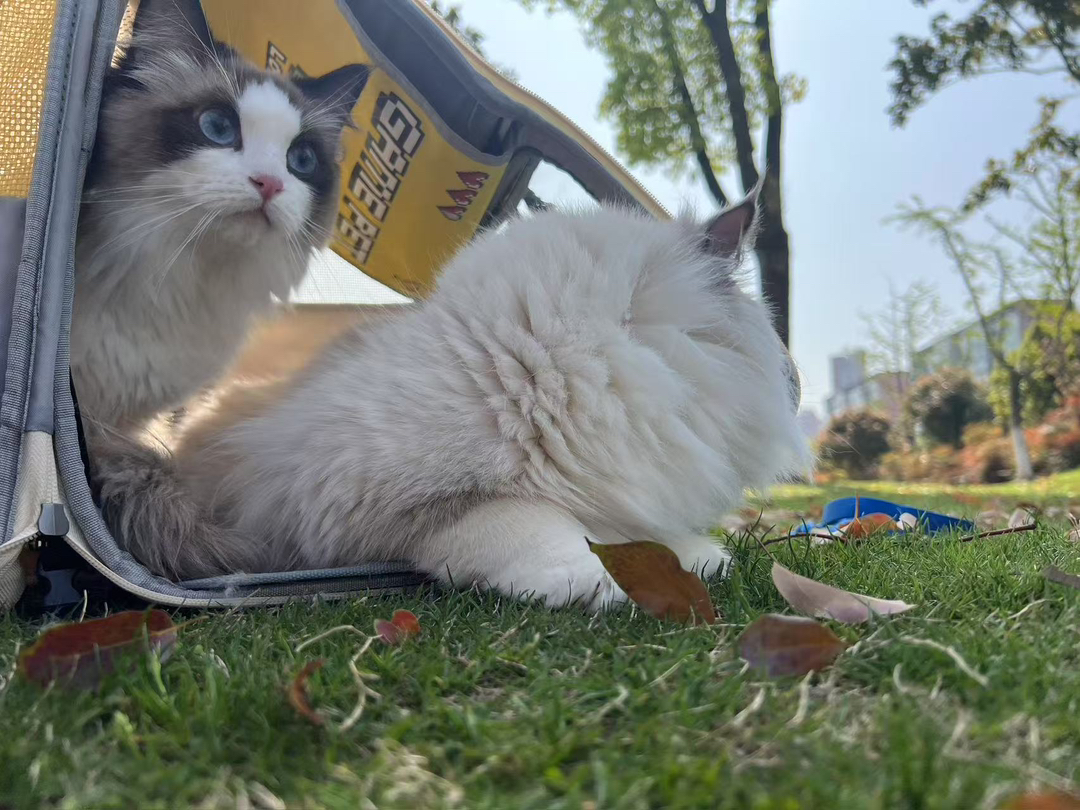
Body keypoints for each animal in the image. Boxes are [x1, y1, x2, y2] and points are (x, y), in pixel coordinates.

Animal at [101, 192, 810, 608]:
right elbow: (542, 522)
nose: (795, 377)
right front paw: (599, 583)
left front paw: (694, 559)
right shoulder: (396, 508)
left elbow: (648, 535)